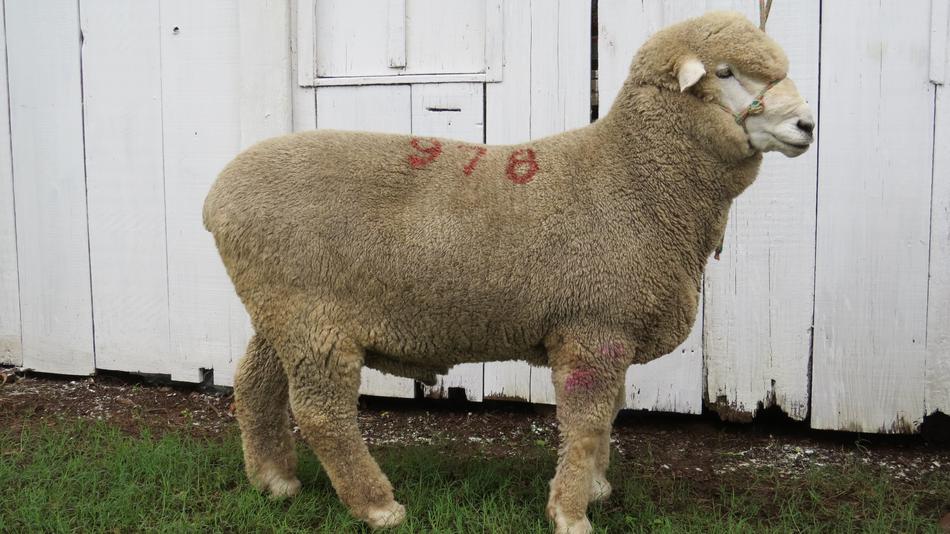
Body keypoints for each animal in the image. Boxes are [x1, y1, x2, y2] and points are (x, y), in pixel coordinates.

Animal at [203, 10, 814, 533]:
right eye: (726, 72)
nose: (808, 124)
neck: (635, 179)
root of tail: (216, 197)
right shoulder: (593, 330)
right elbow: (588, 422)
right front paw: (571, 513)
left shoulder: (606, 333)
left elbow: (607, 416)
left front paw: (594, 489)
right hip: (311, 316)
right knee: (322, 411)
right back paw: (377, 507)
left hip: (283, 310)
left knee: (255, 383)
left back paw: (275, 482)